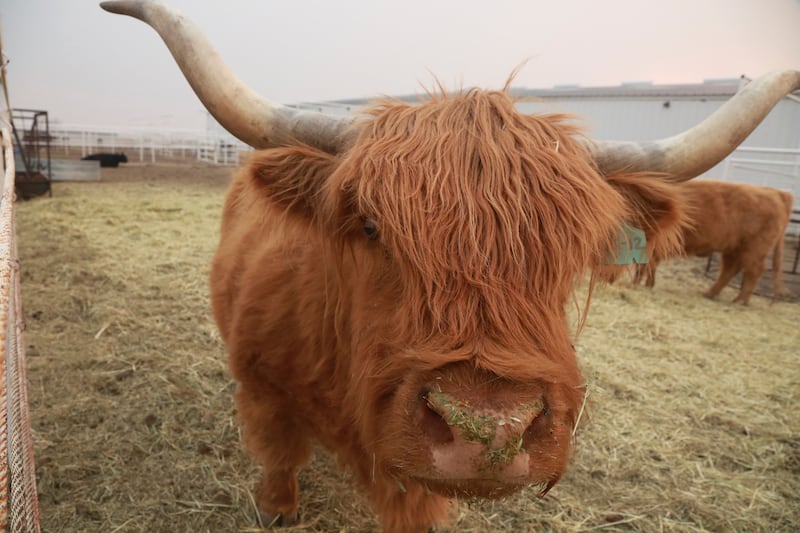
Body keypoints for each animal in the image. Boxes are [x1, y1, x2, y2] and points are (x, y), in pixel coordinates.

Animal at [634, 180, 794, 304]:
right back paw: (711, 294)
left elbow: (644, 266)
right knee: (730, 269)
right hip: (733, 249)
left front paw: (637, 284)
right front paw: (645, 284)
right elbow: (649, 266)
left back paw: (739, 301)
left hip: (754, 249)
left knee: (754, 271)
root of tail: (776, 192)